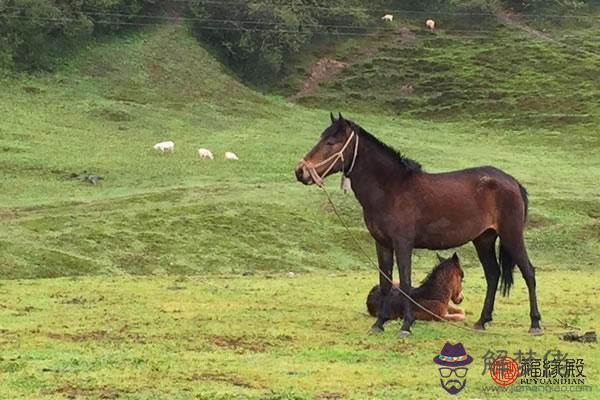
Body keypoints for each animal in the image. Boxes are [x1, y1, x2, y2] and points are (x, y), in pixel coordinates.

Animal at [296, 113, 544, 338]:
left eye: (331, 142)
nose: (300, 171)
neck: (391, 189)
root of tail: (513, 182)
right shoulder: (382, 244)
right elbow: (386, 283)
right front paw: (379, 323)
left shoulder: (403, 243)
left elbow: (405, 283)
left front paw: (406, 326)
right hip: (483, 239)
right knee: (493, 275)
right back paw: (482, 321)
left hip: (511, 236)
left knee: (528, 272)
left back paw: (535, 324)